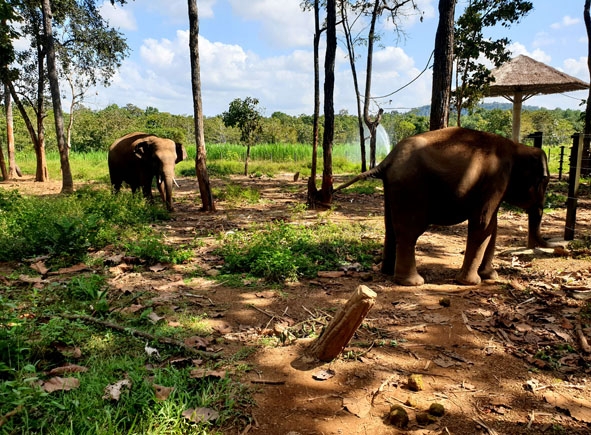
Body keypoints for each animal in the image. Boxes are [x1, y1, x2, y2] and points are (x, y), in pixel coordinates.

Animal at [336, 127, 552, 286]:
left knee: (391, 228)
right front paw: (471, 283)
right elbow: (482, 225)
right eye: (545, 181)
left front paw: (491, 277)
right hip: (411, 187)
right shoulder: (495, 180)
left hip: (393, 188)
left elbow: (492, 227)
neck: (517, 148)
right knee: (409, 232)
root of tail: (388, 159)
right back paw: (413, 282)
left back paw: (388, 271)